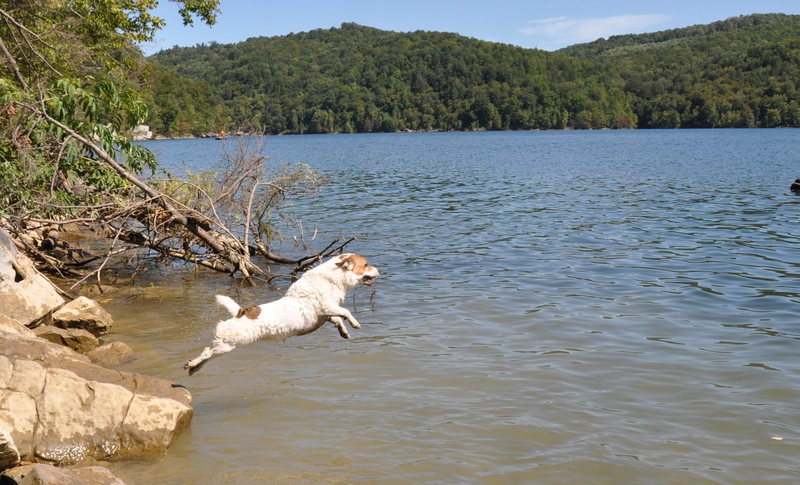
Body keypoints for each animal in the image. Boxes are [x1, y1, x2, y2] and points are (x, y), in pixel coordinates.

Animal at [184, 253, 378, 374]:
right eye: (366, 264)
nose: (380, 270)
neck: (331, 278)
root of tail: (239, 313)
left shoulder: (326, 314)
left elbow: (338, 319)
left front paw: (343, 331)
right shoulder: (326, 306)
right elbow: (345, 311)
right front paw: (354, 323)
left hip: (224, 347)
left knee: (207, 354)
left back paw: (194, 368)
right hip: (228, 344)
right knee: (206, 352)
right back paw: (192, 363)